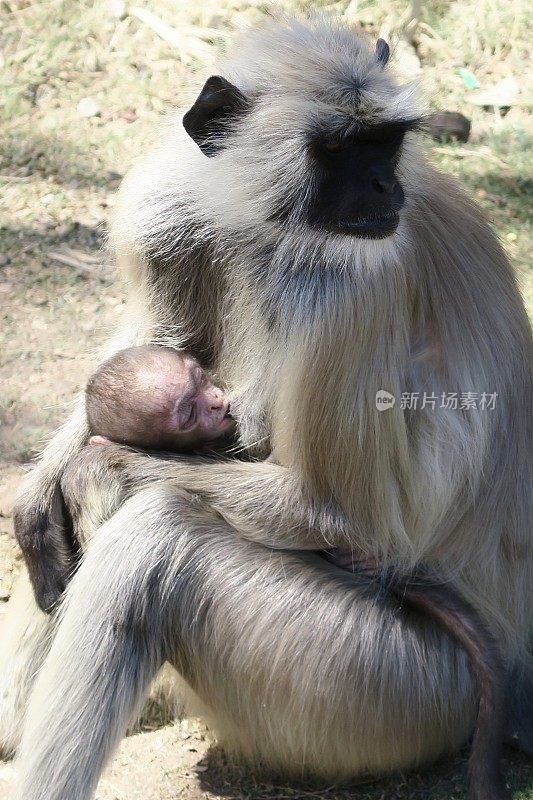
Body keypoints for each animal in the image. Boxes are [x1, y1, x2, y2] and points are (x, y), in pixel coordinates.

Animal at [4, 15, 532, 800]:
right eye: (338, 150)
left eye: (385, 143)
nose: (384, 184)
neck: (273, 232)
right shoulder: (173, 212)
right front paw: (41, 485)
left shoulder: (353, 283)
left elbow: (338, 515)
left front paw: (99, 466)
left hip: (392, 688)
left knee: (155, 539)